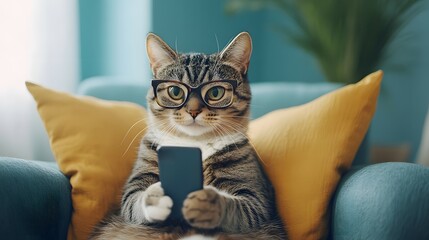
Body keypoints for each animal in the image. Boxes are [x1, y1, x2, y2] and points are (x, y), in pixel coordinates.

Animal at [90, 32, 284, 240]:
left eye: (215, 92)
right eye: (175, 91)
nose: (193, 111)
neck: (195, 144)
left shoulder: (257, 197)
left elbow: (243, 208)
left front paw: (208, 203)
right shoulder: (137, 183)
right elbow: (133, 199)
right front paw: (156, 197)